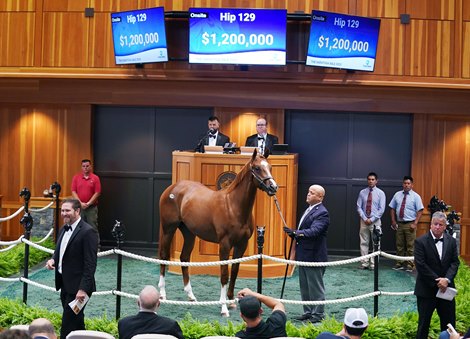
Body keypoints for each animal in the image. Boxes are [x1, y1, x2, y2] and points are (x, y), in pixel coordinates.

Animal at [158, 150, 278, 318]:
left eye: (270, 167)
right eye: (257, 168)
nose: (273, 187)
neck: (233, 206)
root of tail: (172, 188)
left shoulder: (241, 244)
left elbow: (234, 271)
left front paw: (232, 301)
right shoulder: (225, 244)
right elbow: (224, 274)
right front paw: (223, 308)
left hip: (189, 233)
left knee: (184, 258)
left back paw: (191, 296)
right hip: (168, 229)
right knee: (163, 256)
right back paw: (162, 294)